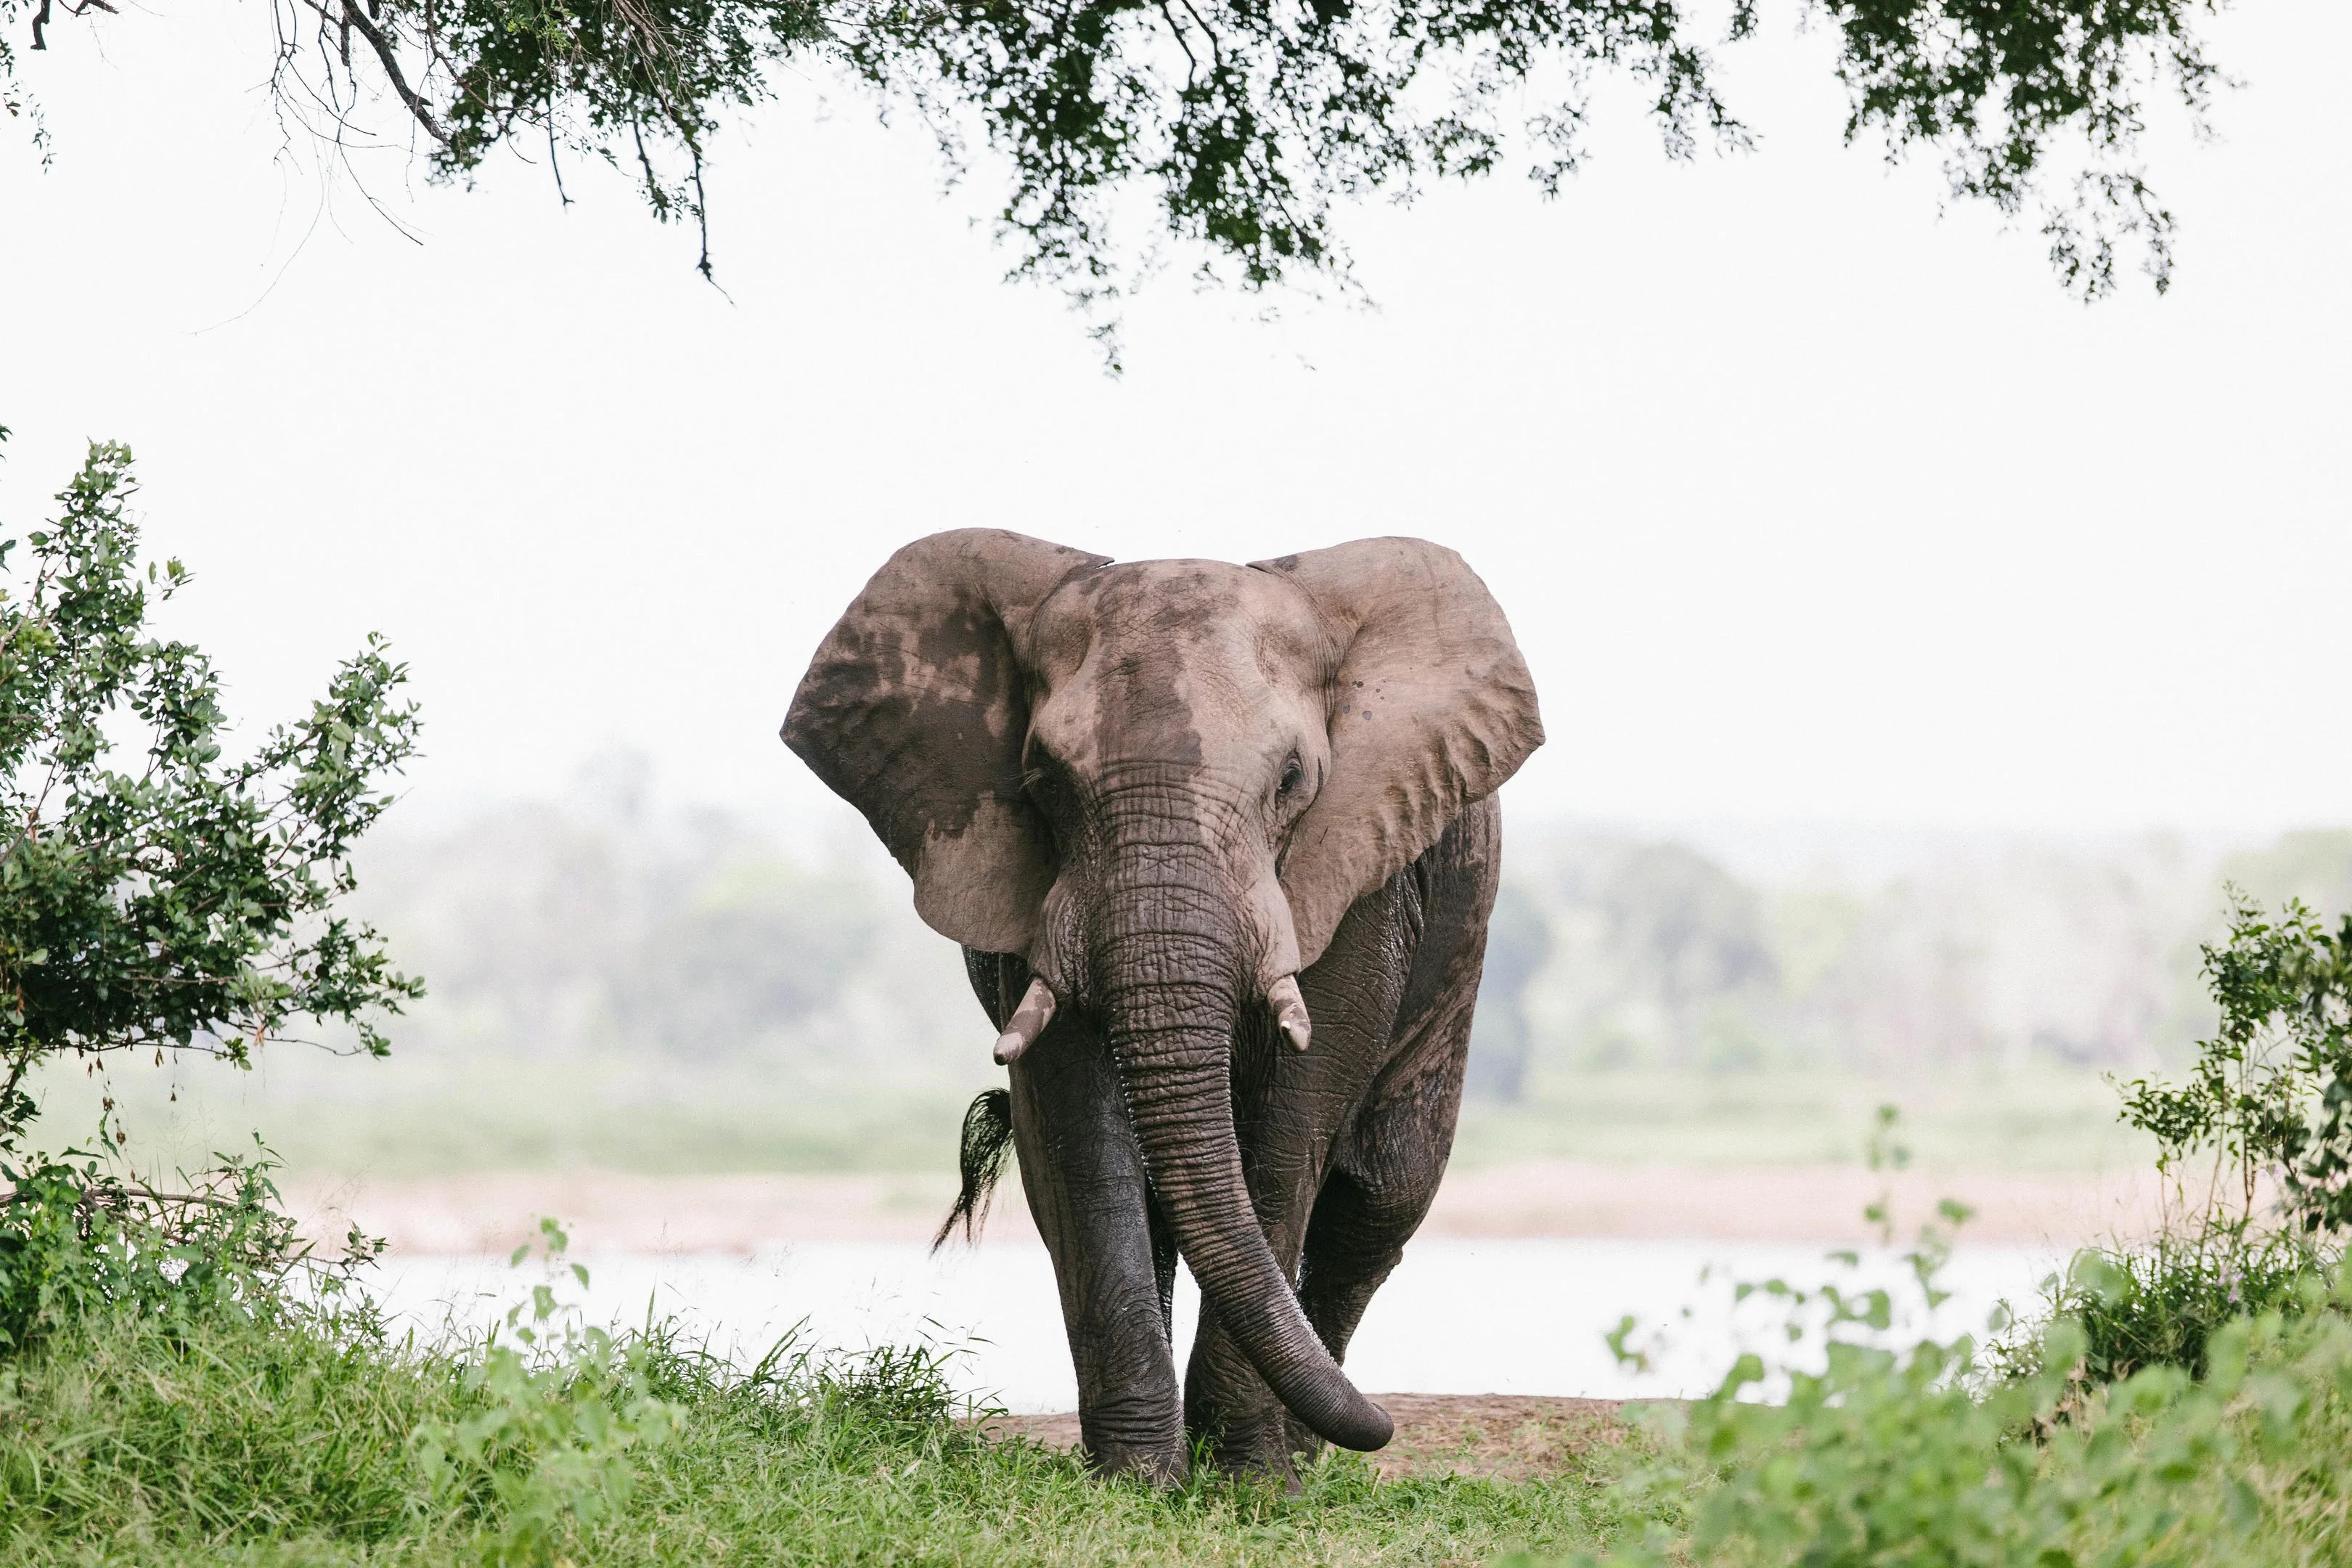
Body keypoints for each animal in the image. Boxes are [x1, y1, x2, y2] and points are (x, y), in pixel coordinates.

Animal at [781, 530, 1542, 1483]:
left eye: (1292, 778)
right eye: (1042, 780)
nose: (1386, 1425)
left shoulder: (1359, 868)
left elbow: (1292, 1130)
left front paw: (1255, 1483)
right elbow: (1077, 1136)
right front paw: (1138, 1481)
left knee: (1380, 1197)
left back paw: (1309, 1446)